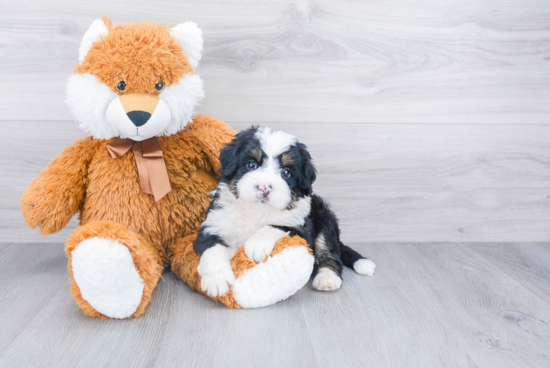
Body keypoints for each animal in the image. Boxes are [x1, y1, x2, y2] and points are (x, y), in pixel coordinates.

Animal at [193, 126, 376, 296]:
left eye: (286, 173)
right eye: (251, 165)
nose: (264, 187)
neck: (256, 211)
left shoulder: (301, 227)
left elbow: (277, 225)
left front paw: (256, 244)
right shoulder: (214, 222)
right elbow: (212, 246)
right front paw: (217, 279)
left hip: (325, 219)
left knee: (329, 253)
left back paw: (327, 278)